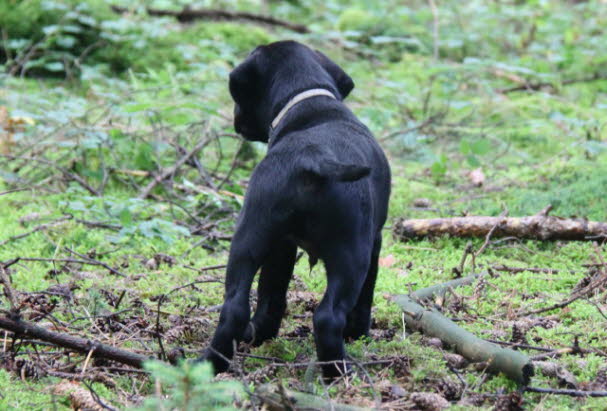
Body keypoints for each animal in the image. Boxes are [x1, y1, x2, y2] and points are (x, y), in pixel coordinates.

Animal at [202, 40, 392, 378]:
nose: (236, 122)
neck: (310, 101)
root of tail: (313, 159)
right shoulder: (375, 240)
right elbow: (367, 294)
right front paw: (359, 333)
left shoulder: (282, 247)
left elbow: (270, 293)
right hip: (351, 253)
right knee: (328, 316)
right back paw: (339, 372)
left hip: (249, 237)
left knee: (234, 307)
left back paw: (214, 361)